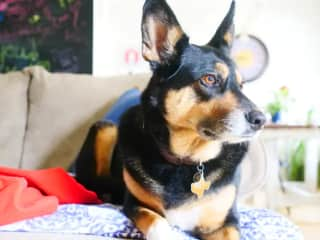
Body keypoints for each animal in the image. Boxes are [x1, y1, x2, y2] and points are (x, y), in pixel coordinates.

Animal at [75, 0, 264, 239]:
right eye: (209, 79)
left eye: (241, 85)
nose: (262, 120)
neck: (187, 159)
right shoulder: (135, 205)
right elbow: (156, 222)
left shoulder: (226, 223)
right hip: (105, 127)